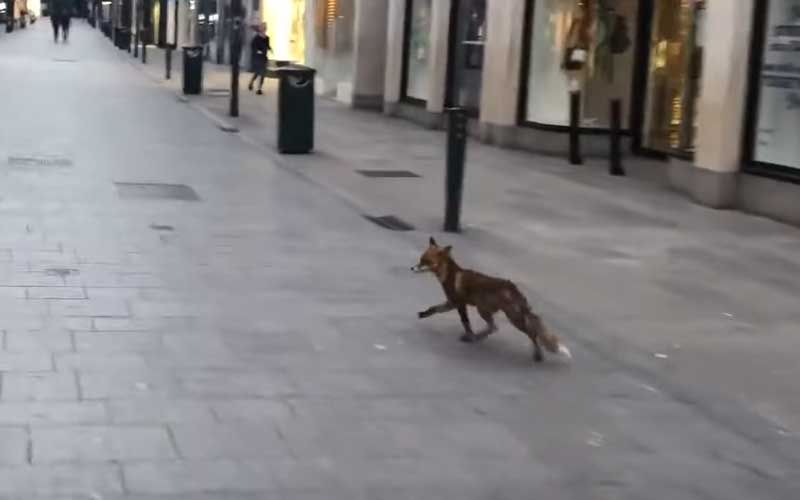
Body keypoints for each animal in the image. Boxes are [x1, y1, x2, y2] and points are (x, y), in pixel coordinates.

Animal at [412, 237, 571, 363]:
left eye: (426, 261)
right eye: (420, 260)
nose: (412, 268)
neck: (450, 275)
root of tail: (512, 287)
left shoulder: (459, 303)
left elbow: (465, 323)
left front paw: (469, 334)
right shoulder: (451, 303)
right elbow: (434, 309)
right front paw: (423, 314)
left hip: (505, 315)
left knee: (527, 333)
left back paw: (537, 355)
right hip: (488, 310)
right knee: (494, 327)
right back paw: (479, 337)